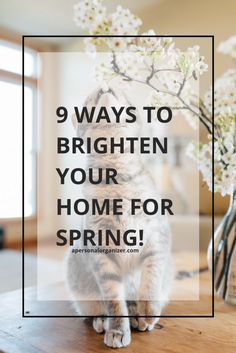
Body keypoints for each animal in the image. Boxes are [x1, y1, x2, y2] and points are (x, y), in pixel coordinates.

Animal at [66, 87, 173, 346]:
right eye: (89, 99)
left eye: (121, 93)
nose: (104, 87)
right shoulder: (101, 256)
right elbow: (114, 302)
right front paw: (116, 330)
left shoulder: (157, 239)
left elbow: (150, 282)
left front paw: (149, 312)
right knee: (97, 309)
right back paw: (103, 321)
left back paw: (139, 317)